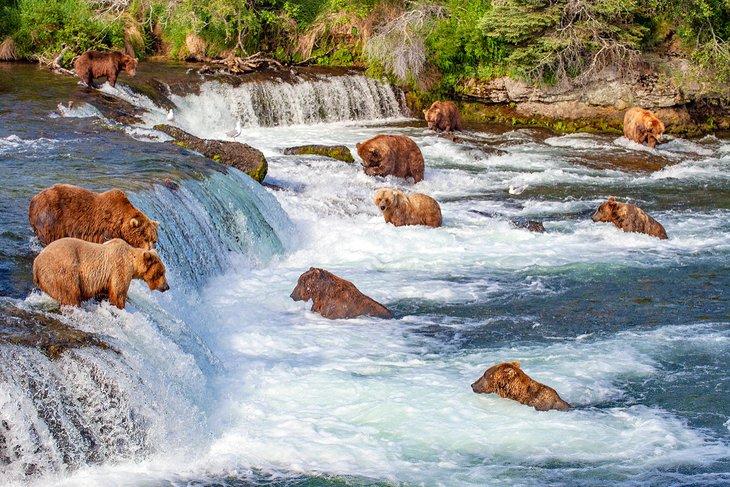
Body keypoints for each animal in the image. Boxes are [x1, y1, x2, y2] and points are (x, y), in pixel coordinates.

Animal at [29, 184, 159, 250]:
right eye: (145, 238)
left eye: (154, 239)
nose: (150, 249)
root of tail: (34, 198)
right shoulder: (105, 230)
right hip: (51, 218)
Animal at [32, 238, 169, 309]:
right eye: (161, 273)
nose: (167, 287)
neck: (133, 261)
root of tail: (36, 262)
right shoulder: (119, 268)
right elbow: (118, 292)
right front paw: (120, 306)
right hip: (62, 269)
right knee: (70, 293)